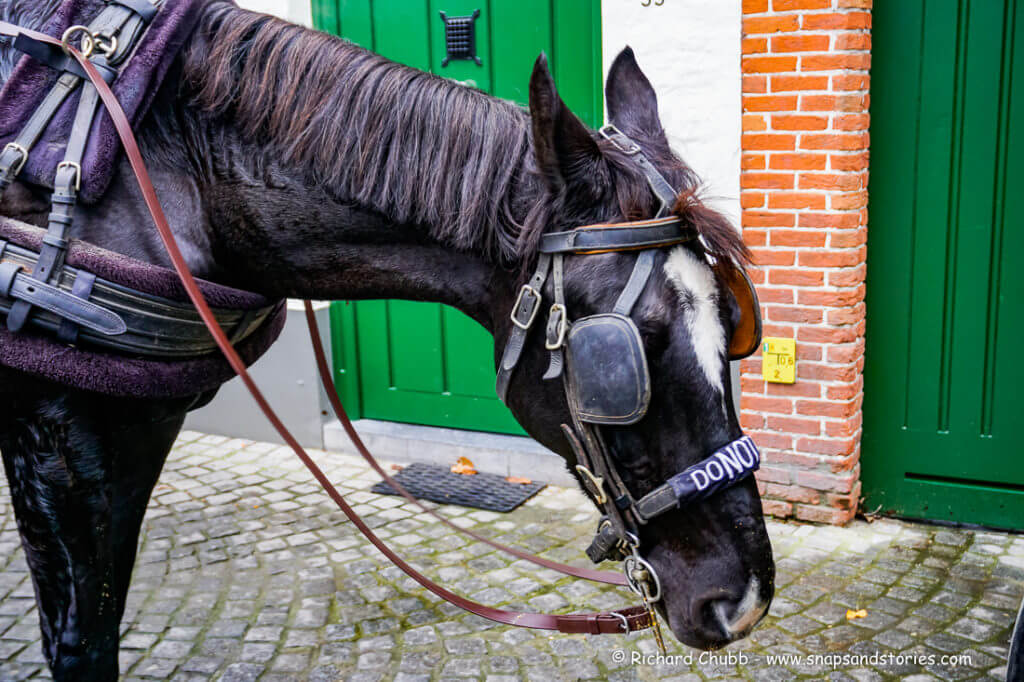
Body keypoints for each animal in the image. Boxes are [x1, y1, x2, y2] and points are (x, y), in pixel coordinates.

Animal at [0, 3, 770, 675]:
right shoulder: (60, 442)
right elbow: (82, 643)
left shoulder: (140, 430)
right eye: (621, 357)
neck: (160, 169)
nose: (745, 602)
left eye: (732, 326)